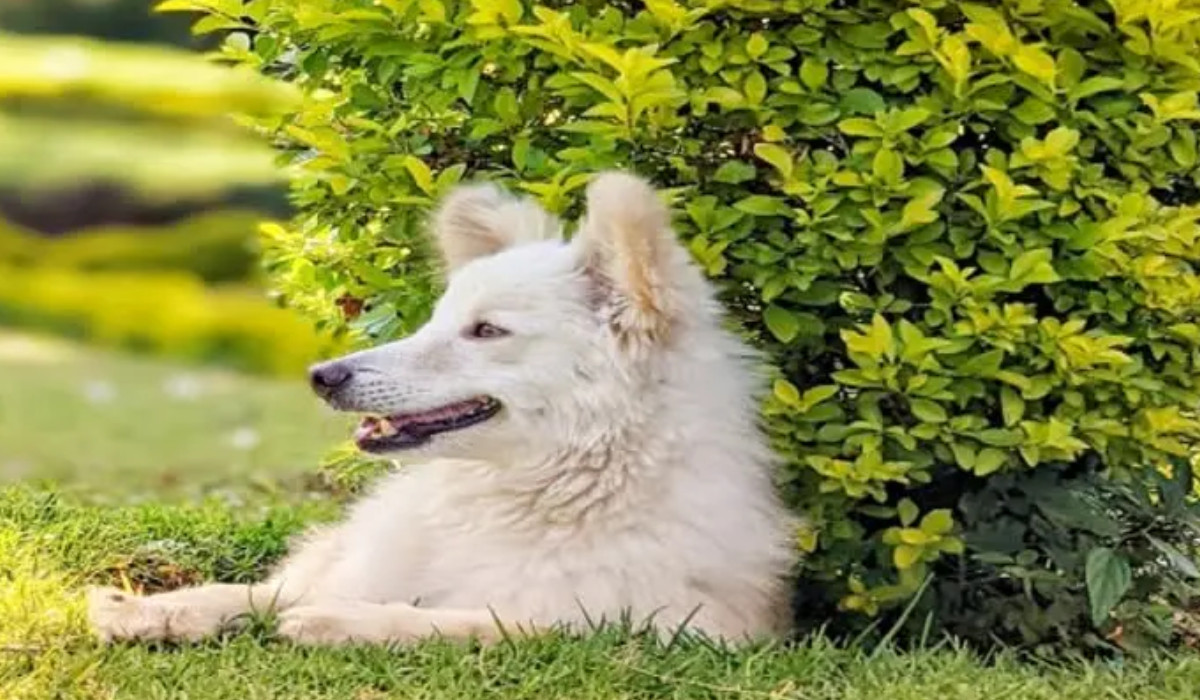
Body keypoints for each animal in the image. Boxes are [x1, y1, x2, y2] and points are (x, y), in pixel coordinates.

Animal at [87, 169, 796, 648]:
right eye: (436, 321)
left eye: (485, 331)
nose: (322, 376)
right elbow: (252, 591)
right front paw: (146, 610)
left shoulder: (605, 622)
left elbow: (455, 622)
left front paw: (340, 622)